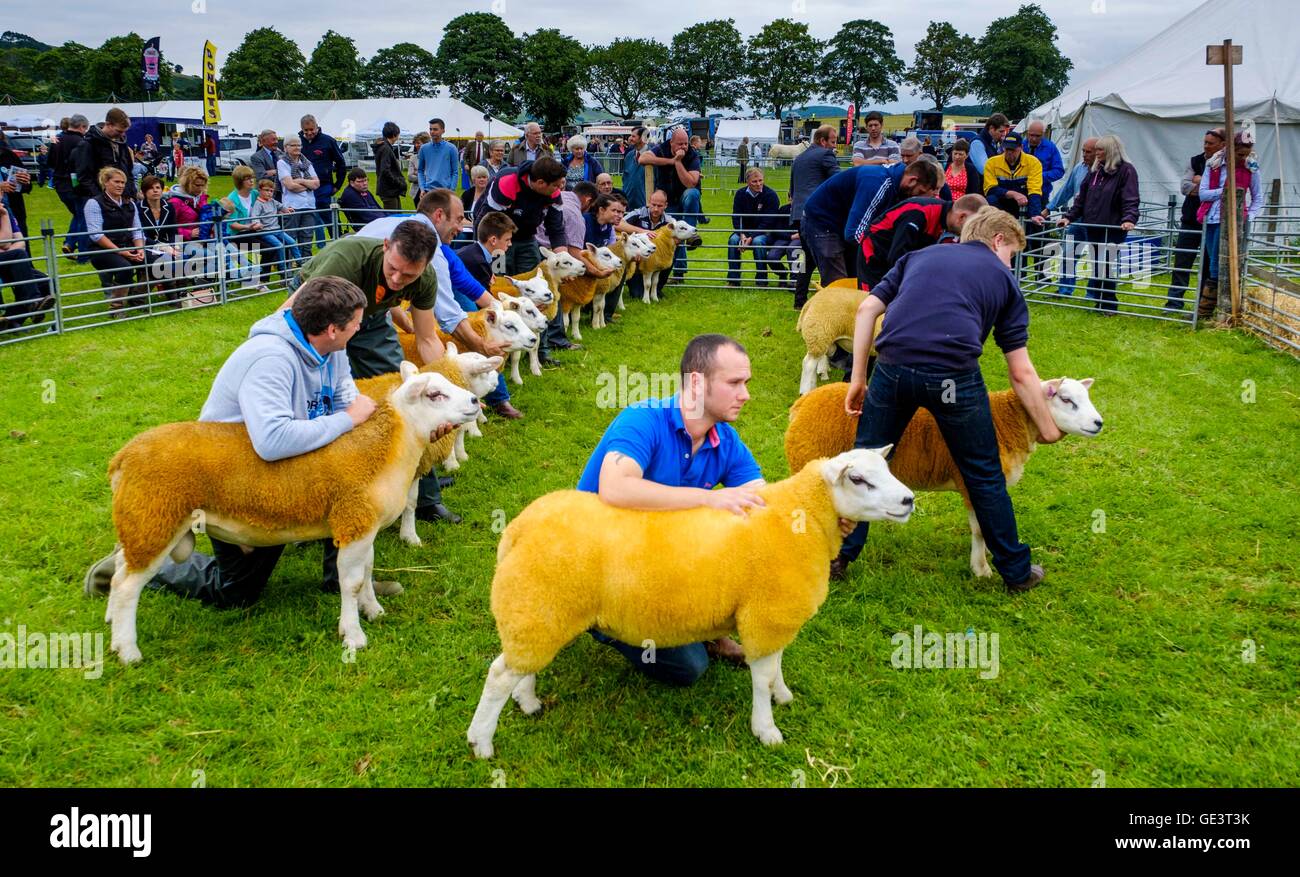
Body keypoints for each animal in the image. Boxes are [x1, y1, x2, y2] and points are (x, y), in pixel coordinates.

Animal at [100, 361, 478, 662]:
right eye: (435, 394)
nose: (475, 401)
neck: (387, 445)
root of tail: (122, 459)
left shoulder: (362, 525)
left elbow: (368, 571)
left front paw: (372, 610)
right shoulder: (353, 519)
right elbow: (352, 582)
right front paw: (353, 635)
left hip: (142, 519)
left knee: (122, 567)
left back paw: (110, 618)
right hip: (155, 518)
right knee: (127, 586)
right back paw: (127, 650)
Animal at [356, 345, 501, 545]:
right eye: (485, 371)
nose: (498, 379)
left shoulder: (415, 467)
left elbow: (410, 503)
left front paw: (409, 536)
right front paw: (452, 463)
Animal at [467, 449, 915, 758]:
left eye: (887, 468)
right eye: (858, 478)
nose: (909, 500)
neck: (800, 520)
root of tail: (518, 528)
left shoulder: (774, 616)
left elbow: (776, 666)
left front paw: (782, 695)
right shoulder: (765, 615)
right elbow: (761, 676)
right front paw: (766, 728)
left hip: (541, 608)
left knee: (521, 664)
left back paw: (527, 701)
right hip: (539, 603)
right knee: (499, 675)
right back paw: (482, 742)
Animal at [780, 376, 1107, 576]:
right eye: (1066, 399)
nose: (1098, 423)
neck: (1008, 421)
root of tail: (801, 405)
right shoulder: (973, 482)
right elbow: (980, 529)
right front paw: (982, 570)